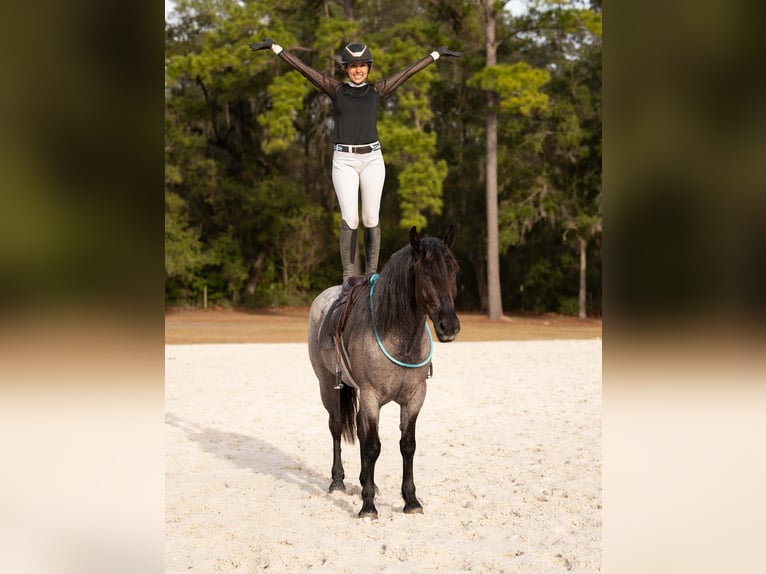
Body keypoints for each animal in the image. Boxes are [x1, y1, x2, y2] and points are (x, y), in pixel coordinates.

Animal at [307, 225, 461, 518]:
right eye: (424, 273)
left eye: (454, 270)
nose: (449, 325)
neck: (400, 336)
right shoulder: (371, 397)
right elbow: (372, 446)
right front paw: (368, 506)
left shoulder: (414, 398)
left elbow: (407, 445)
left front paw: (411, 500)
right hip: (326, 386)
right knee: (336, 427)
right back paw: (338, 481)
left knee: (358, 429)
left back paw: (366, 481)